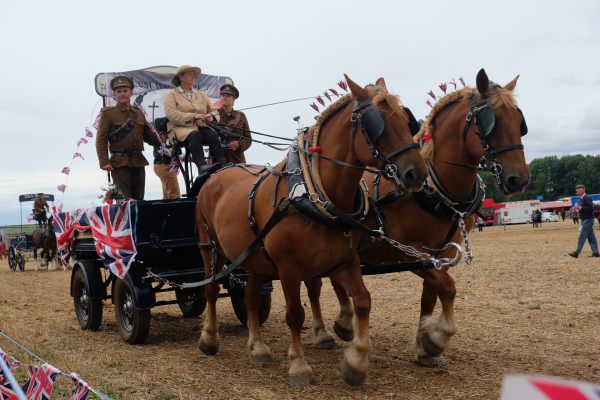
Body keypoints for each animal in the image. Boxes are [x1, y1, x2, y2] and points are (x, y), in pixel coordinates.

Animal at [196, 75, 426, 388]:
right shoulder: (288, 268)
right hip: (210, 247)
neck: (315, 193)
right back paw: (209, 338)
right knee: (210, 288)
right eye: (377, 123)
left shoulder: (344, 261)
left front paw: (355, 362)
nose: (417, 173)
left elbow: (363, 301)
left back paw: (258, 347)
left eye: (406, 120)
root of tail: (217, 172)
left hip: (255, 257)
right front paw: (299, 366)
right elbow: (295, 314)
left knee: (252, 295)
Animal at [304, 67, 528, 368]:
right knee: (314, 285)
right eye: (491, 121)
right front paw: (436, 338)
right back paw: (323, 332)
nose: (519, 179)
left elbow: (431, 295)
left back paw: (344, 323)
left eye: (519, 121)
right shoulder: (406, 251)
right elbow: (448, 288)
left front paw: (426, 345)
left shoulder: (441, 254)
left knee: (336, 281)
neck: (437, 192)